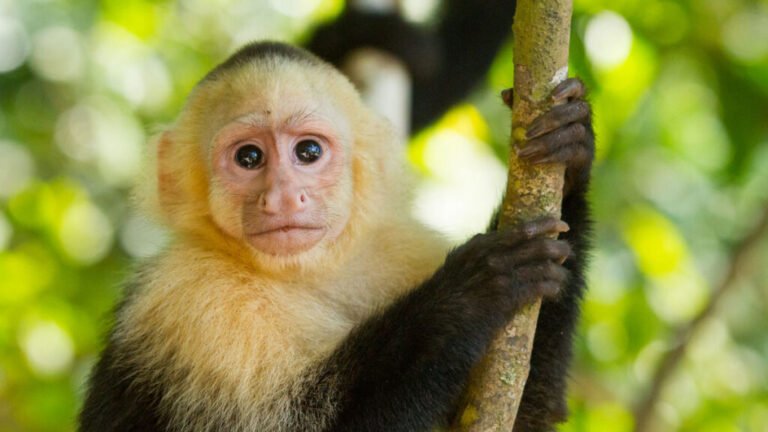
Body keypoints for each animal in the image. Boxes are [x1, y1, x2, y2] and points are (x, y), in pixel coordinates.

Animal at [79, 41, 593, 432]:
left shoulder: (399, 251)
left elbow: (518, 416)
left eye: (308, 152)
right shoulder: (192, 297)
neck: (309, 274)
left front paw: (571, 154)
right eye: (249, 158)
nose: (284, 197)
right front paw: (470, 294)